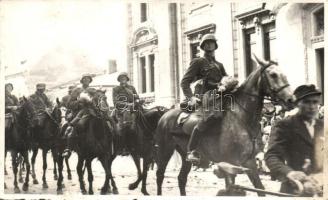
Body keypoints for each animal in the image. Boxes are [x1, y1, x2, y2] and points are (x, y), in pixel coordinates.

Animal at [154, 54, 294, 195]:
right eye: (273, 75)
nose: (290, 100)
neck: (243, 119)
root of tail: (165, 115)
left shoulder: (248, 162)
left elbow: (260, 188)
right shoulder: (231, 163)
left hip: (183, 154)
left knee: (181, 178)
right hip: (165, 150)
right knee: (160, 175)